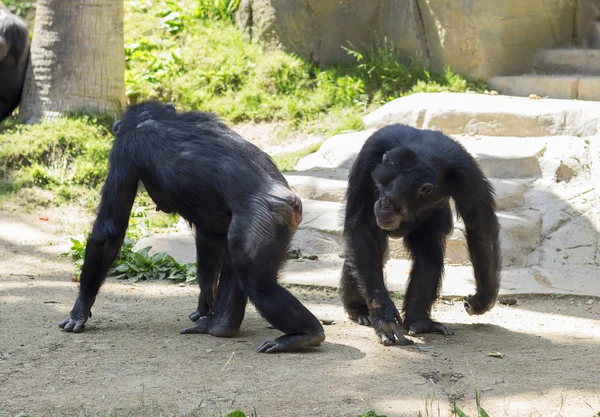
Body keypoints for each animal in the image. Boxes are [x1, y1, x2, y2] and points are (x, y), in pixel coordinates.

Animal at [340, 123, 500, 344]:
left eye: (391, 197)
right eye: (379, 186)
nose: (382, 203)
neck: (425, 155)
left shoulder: (468, 174)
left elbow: (480, 226)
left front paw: (482, 299)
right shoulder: (368, 158)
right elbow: (361, 227)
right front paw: (384, 316)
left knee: (429, 255)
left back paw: (419, 321)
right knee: (364, 254)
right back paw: (359, 310)